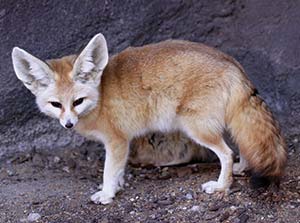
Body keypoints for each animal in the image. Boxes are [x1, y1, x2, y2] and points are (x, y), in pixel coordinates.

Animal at [12, 32, 288, 204]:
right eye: (56, 104)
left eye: (77, 102)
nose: (68, 124)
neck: (100, 96)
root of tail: (232, 63)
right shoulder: (121, 143)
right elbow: (118, 171)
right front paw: (118, 186)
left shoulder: (117, 141)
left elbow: (108, 171)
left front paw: (107, 194)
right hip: (220, 124)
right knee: (242, 145)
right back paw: (242, 167)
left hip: (196, 128)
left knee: (226, 153)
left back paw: (221, 186)